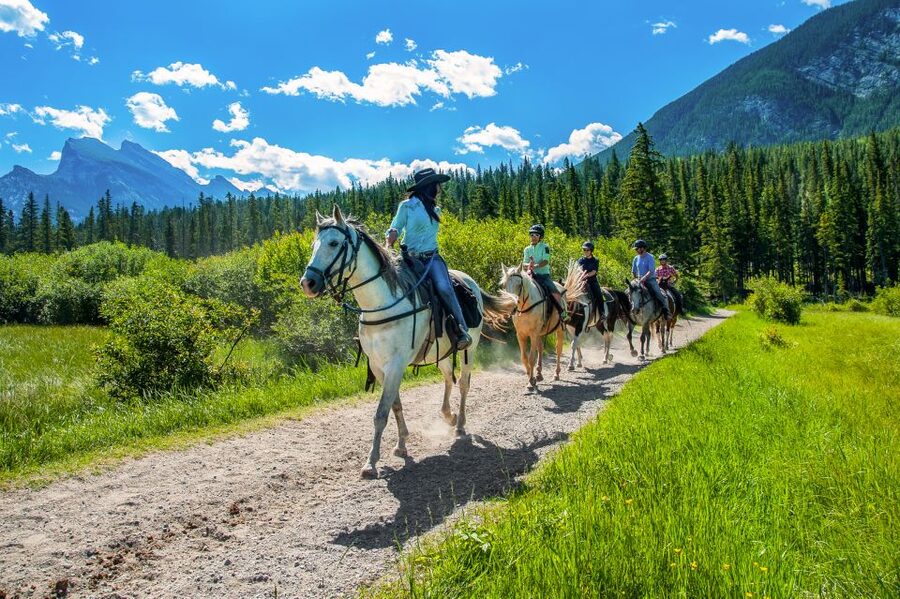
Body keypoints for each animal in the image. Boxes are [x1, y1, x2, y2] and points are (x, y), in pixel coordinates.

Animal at [300, 205, 515, 478]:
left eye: (334, 243)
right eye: (313, 244)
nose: (308, 283)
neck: (382, 305)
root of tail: (470, 282)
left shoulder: (396, 364)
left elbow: (381, 413)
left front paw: (371, 462)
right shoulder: (379, 367)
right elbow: (395, 406)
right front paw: (401, 444)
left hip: (470, 348)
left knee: (464, 384)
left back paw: (460, 425)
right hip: (441, 353)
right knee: (448, 378)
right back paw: (448, 415)